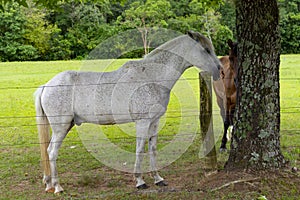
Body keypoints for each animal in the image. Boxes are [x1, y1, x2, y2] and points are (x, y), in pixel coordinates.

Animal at [35, 30, 221, 193]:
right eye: (206, 50)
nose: (220, 70)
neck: (152, 77)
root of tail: (46, 86)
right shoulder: (142, 122)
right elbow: (140, 150)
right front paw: (140, 181)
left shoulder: (154, 122)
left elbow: (152, 149)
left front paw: (158, 179)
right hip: (61, 127)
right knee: (52, 152)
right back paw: (58, 187)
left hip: (66, 126)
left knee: (48, 151)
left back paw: (49, 184)